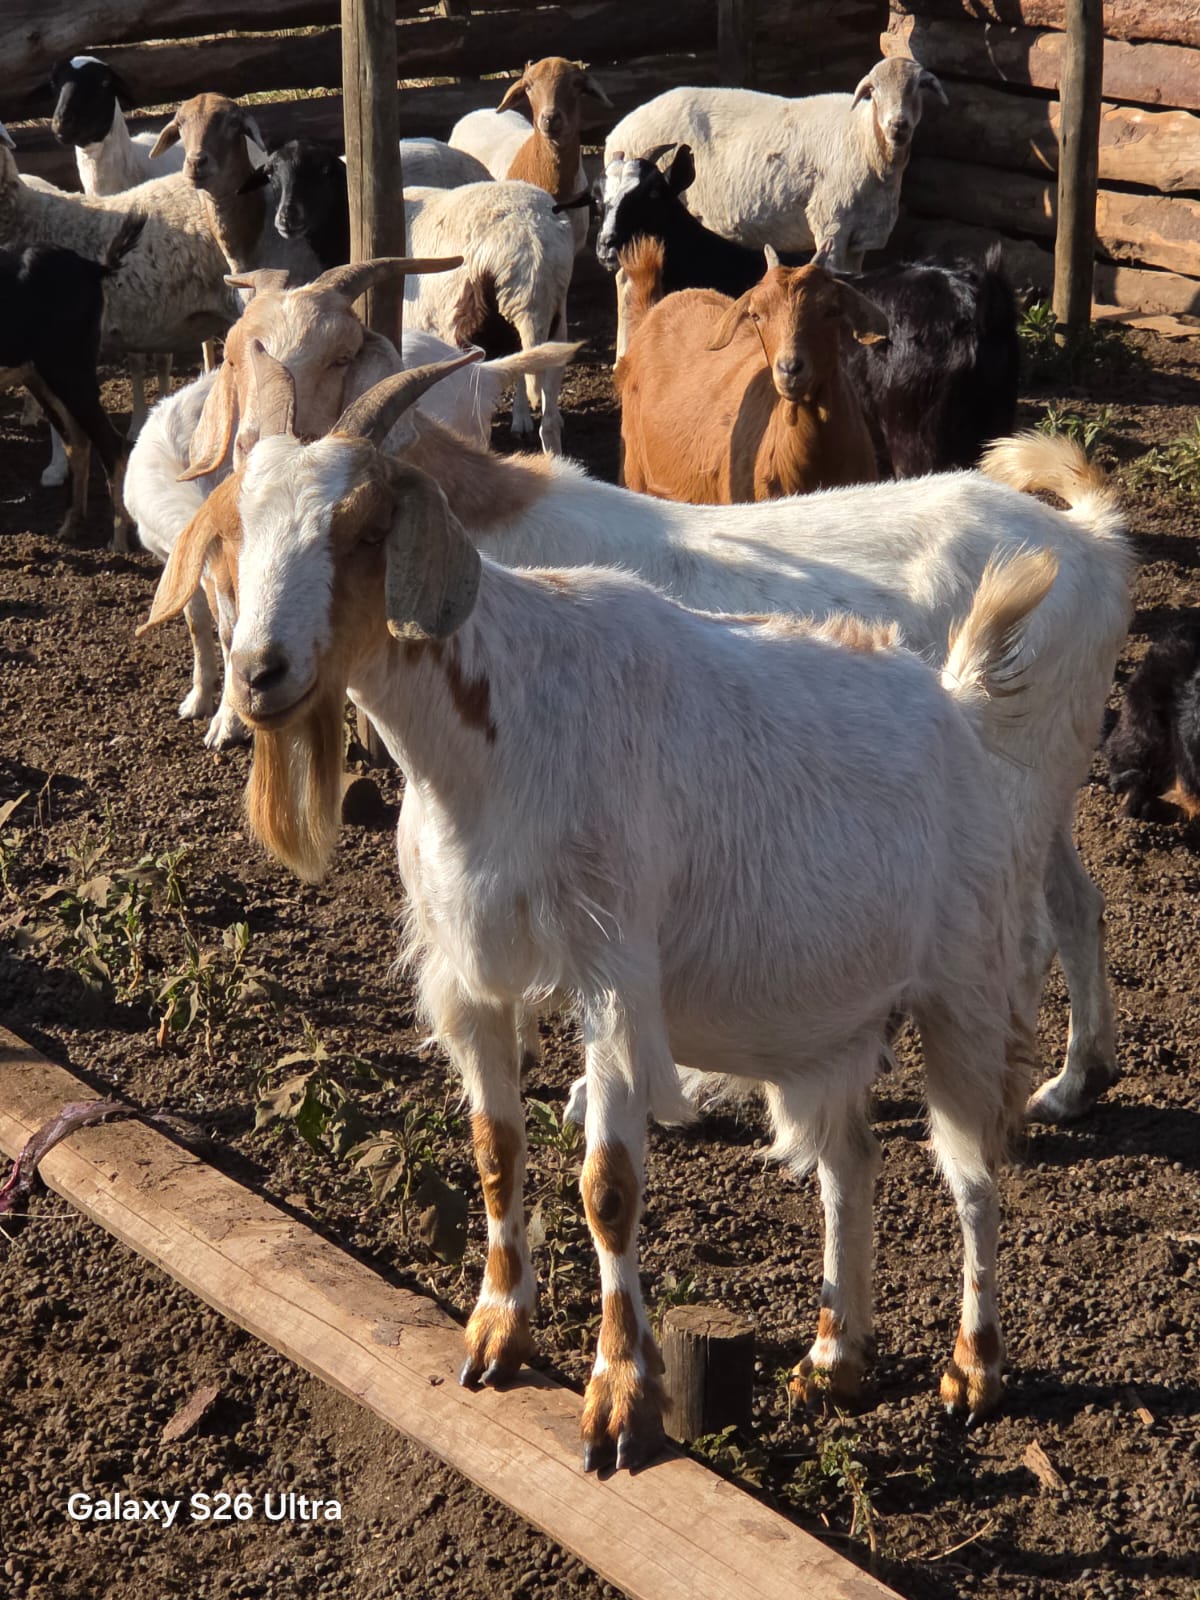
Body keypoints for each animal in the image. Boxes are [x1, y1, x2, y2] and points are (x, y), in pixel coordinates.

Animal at [0, 214, 144, 547]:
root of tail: (91, 267)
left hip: (69, 370)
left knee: (111, 442)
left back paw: (118, 540)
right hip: (41, 376)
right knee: (77, 439)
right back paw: (69, 527)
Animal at [143, 348, 1058, 1467]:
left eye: (360, 531)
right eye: (236, 532)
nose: (259, 674)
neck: (500, 732)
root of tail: (959, 706)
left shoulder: (612, 975)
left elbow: (608, 1188)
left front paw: (619, 1398)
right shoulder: (470, 978)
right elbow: (496, 1155)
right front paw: (495, 1334)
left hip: (967, 981)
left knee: (972, 1171)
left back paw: (973, 1369)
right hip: (824, 1018)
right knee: (851, 1160)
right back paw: (833, 1358)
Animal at [605, 60, 947, 271]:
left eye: (918, 86)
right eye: (874, 91)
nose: (898, 125)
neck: (866, 140)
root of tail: (617, 131)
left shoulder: (858, 239)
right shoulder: (831, 227)